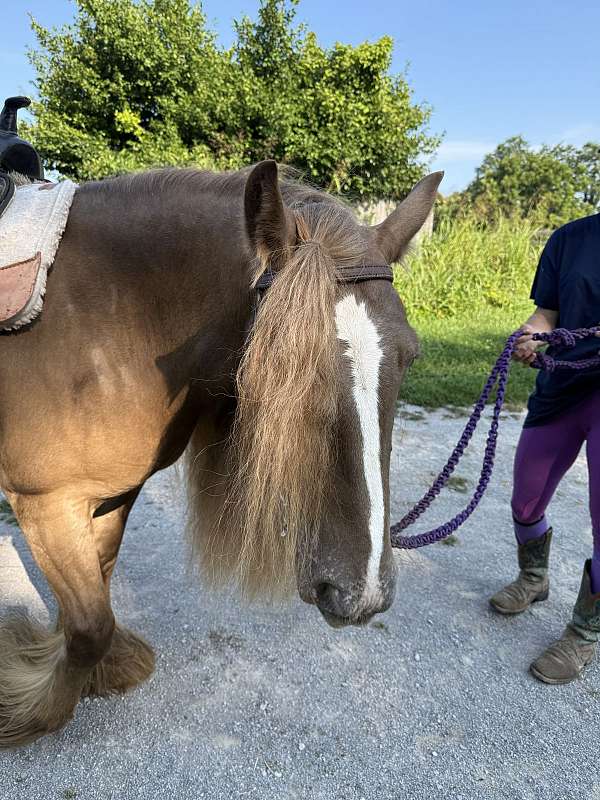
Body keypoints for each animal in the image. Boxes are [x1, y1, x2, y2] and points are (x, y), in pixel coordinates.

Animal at [0, 160, 441, 746]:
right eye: (283, 361)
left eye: (410, 356)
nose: (362, 592)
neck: (111, 319)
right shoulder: (45, 502)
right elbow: (91, 626)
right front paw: (29, 707)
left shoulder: (112, 494)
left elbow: (98, 586)